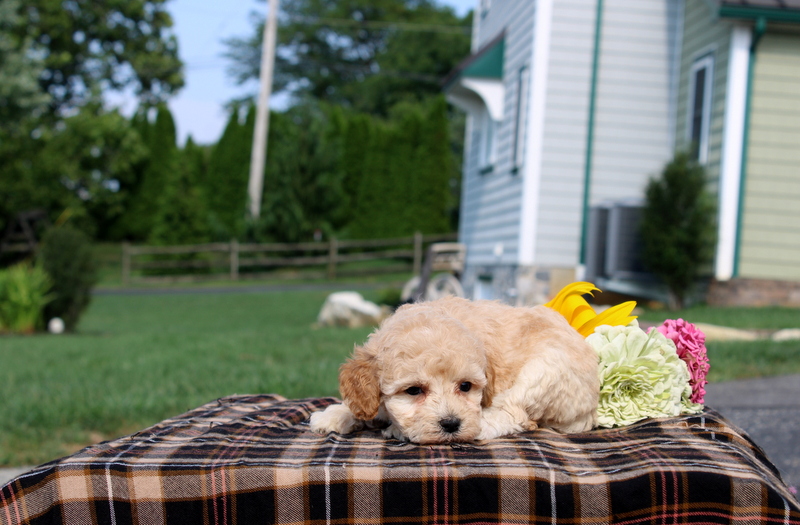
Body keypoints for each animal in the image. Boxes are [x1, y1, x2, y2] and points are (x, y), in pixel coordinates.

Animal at [310, 294, 596, 442]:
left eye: (465, 386)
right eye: (414, 390)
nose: (451, 424)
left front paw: (395, 427)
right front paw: (335, 415)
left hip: (545, 369)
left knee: (516, 414)